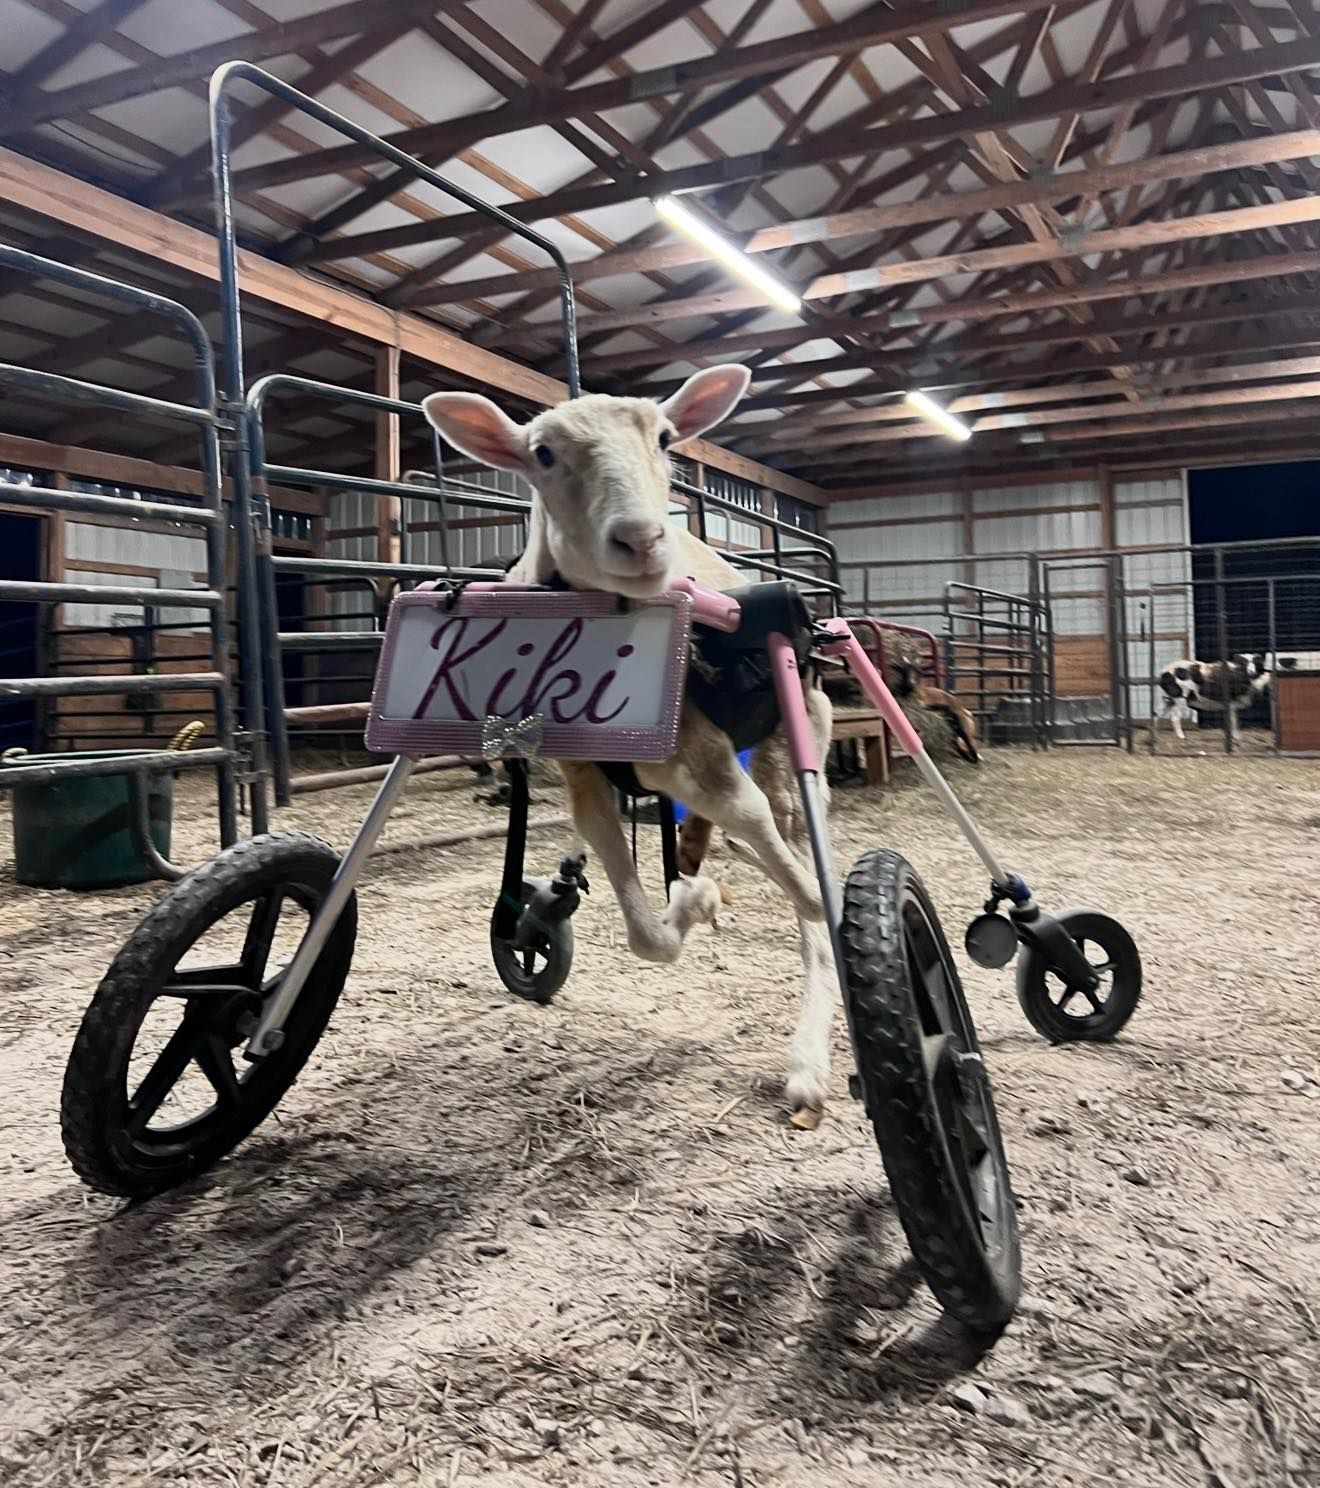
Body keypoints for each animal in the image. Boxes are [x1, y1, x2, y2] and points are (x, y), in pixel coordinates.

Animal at [422, 366, 839, 1128]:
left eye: (667, 439)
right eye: (542, 454)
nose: (644, 540)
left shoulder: (713, 766)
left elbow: (809, 894)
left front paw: (705, 897)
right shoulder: (588, 779)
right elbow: (644, 930)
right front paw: (693, 900)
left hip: (795, 747)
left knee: (800, 863)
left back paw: (807, 1067)